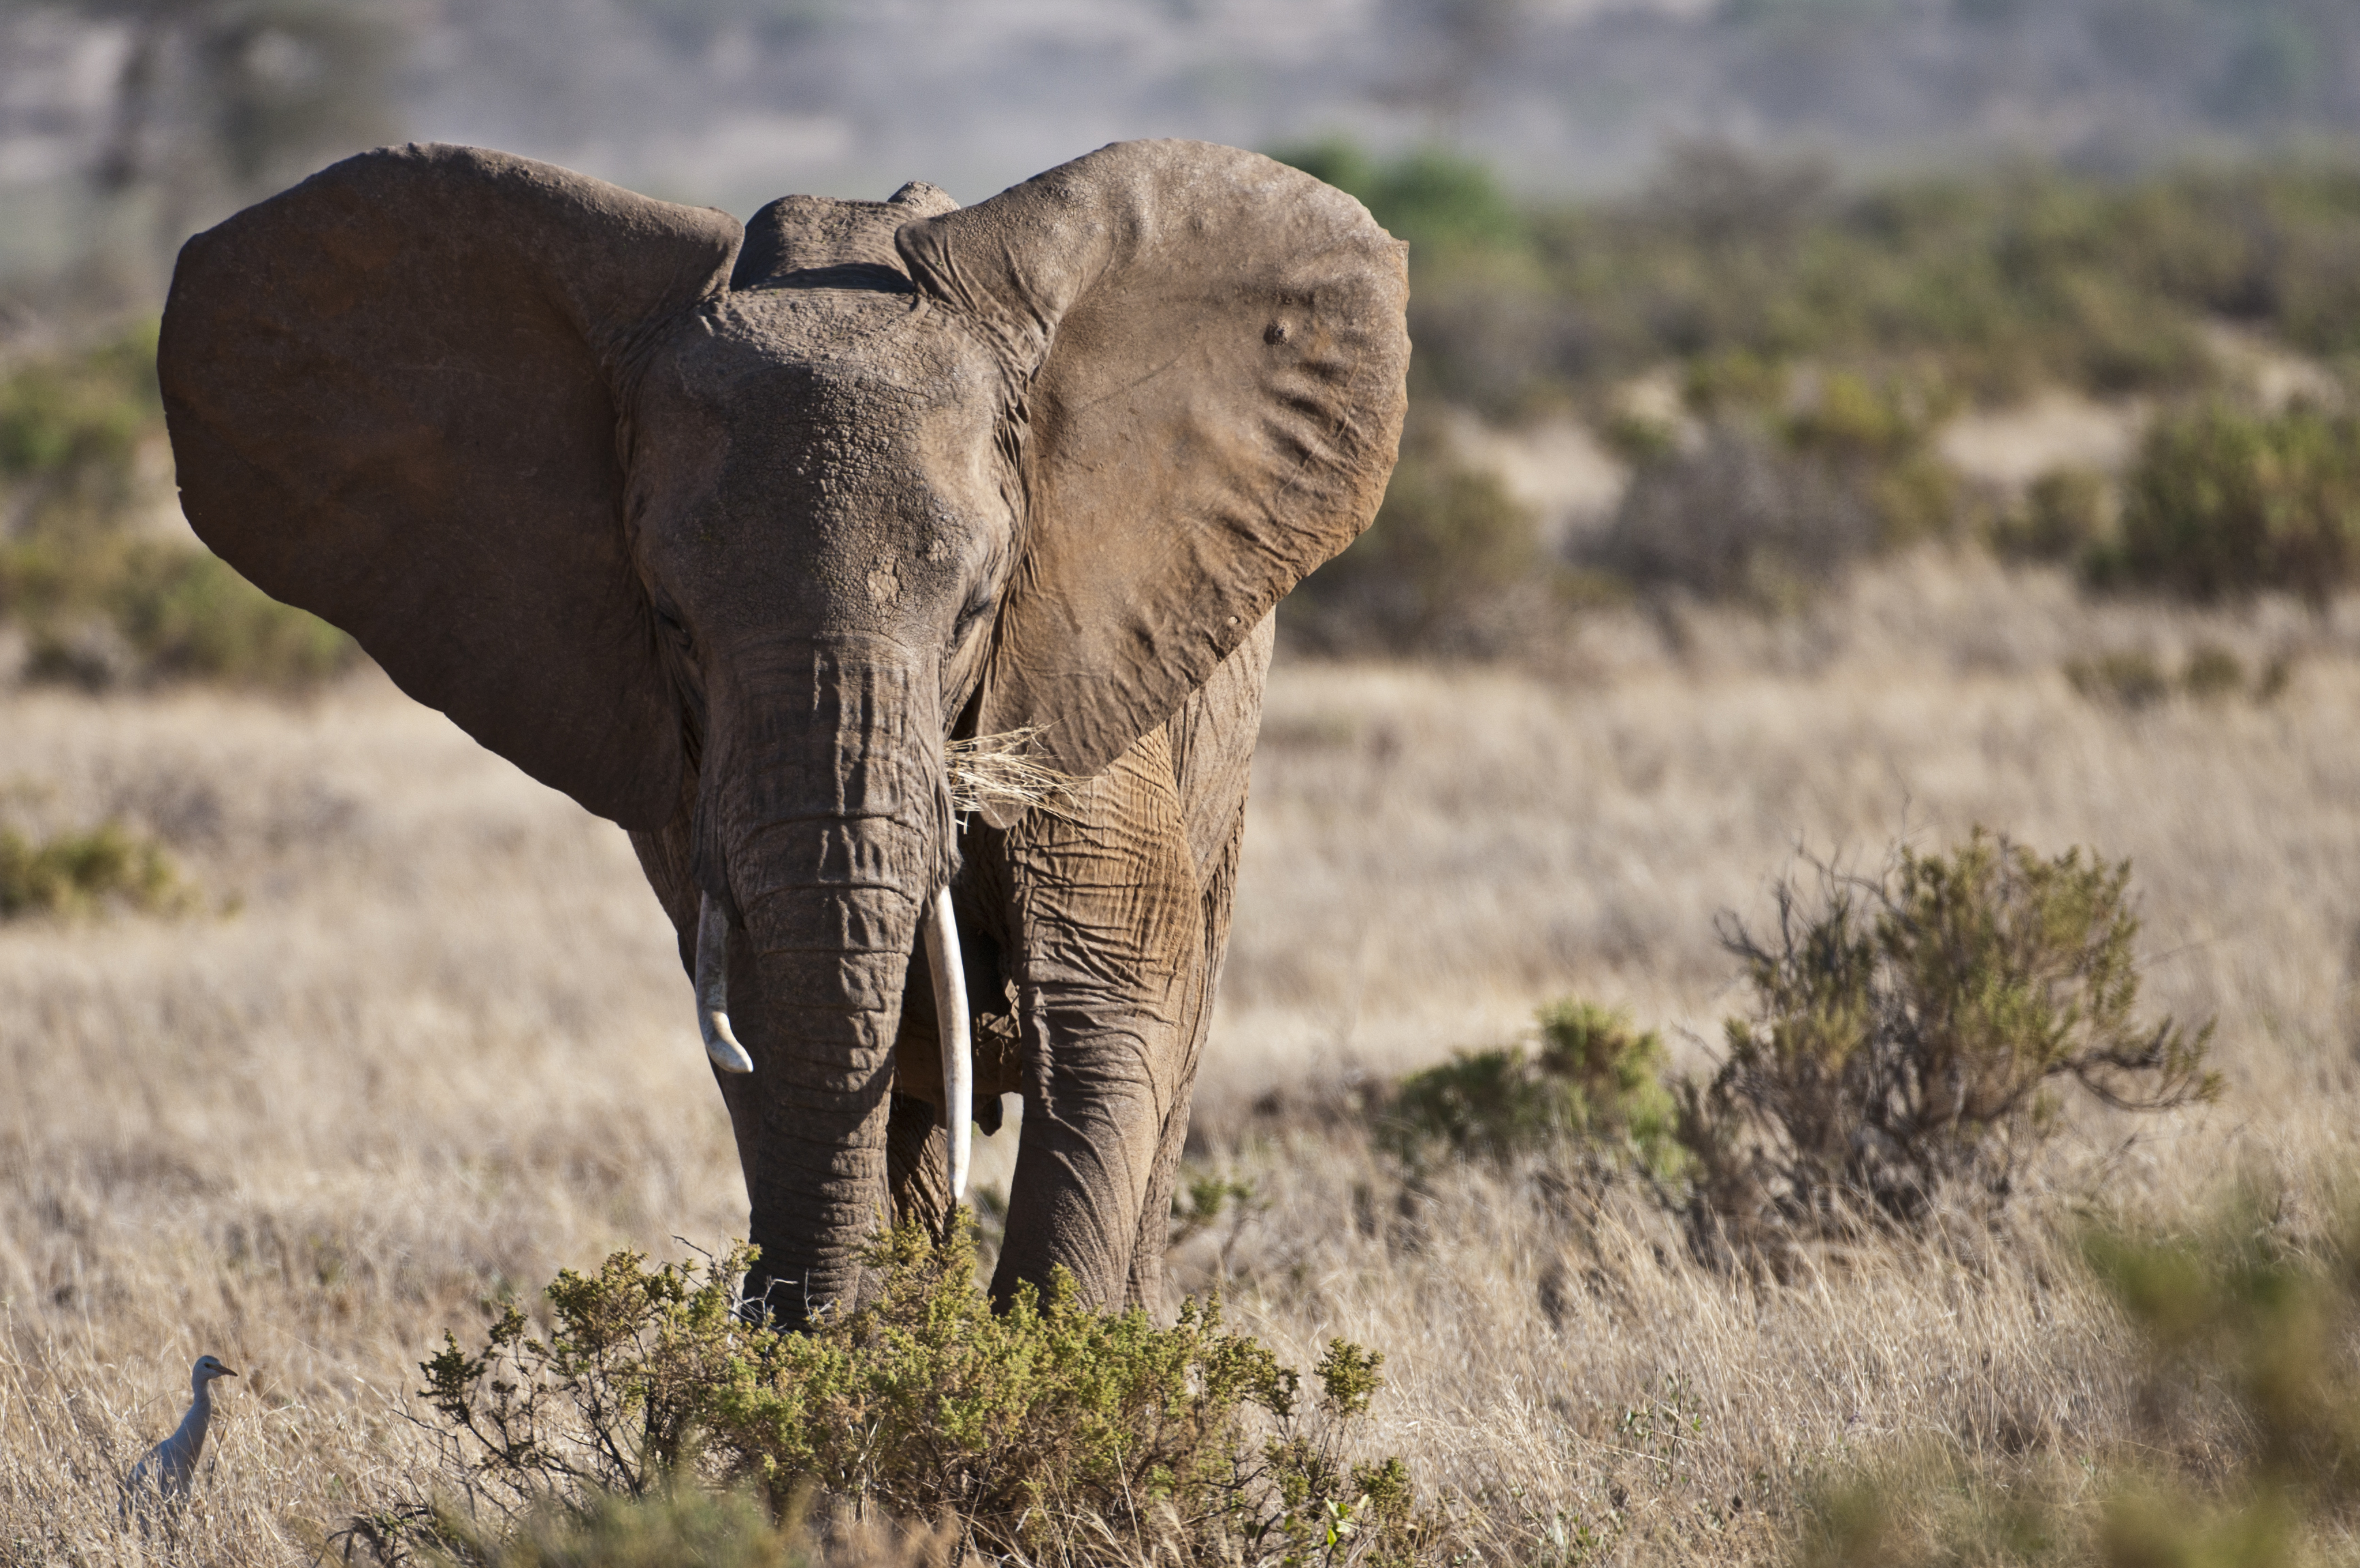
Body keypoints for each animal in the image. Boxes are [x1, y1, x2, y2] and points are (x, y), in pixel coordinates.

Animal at [157, 138, 1408, 1326]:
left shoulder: (1086, 657)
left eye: (977, 608)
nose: (791, 1321)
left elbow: (1109, 996)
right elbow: (767, 1015)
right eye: (668, 618)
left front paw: (1056, 1357)